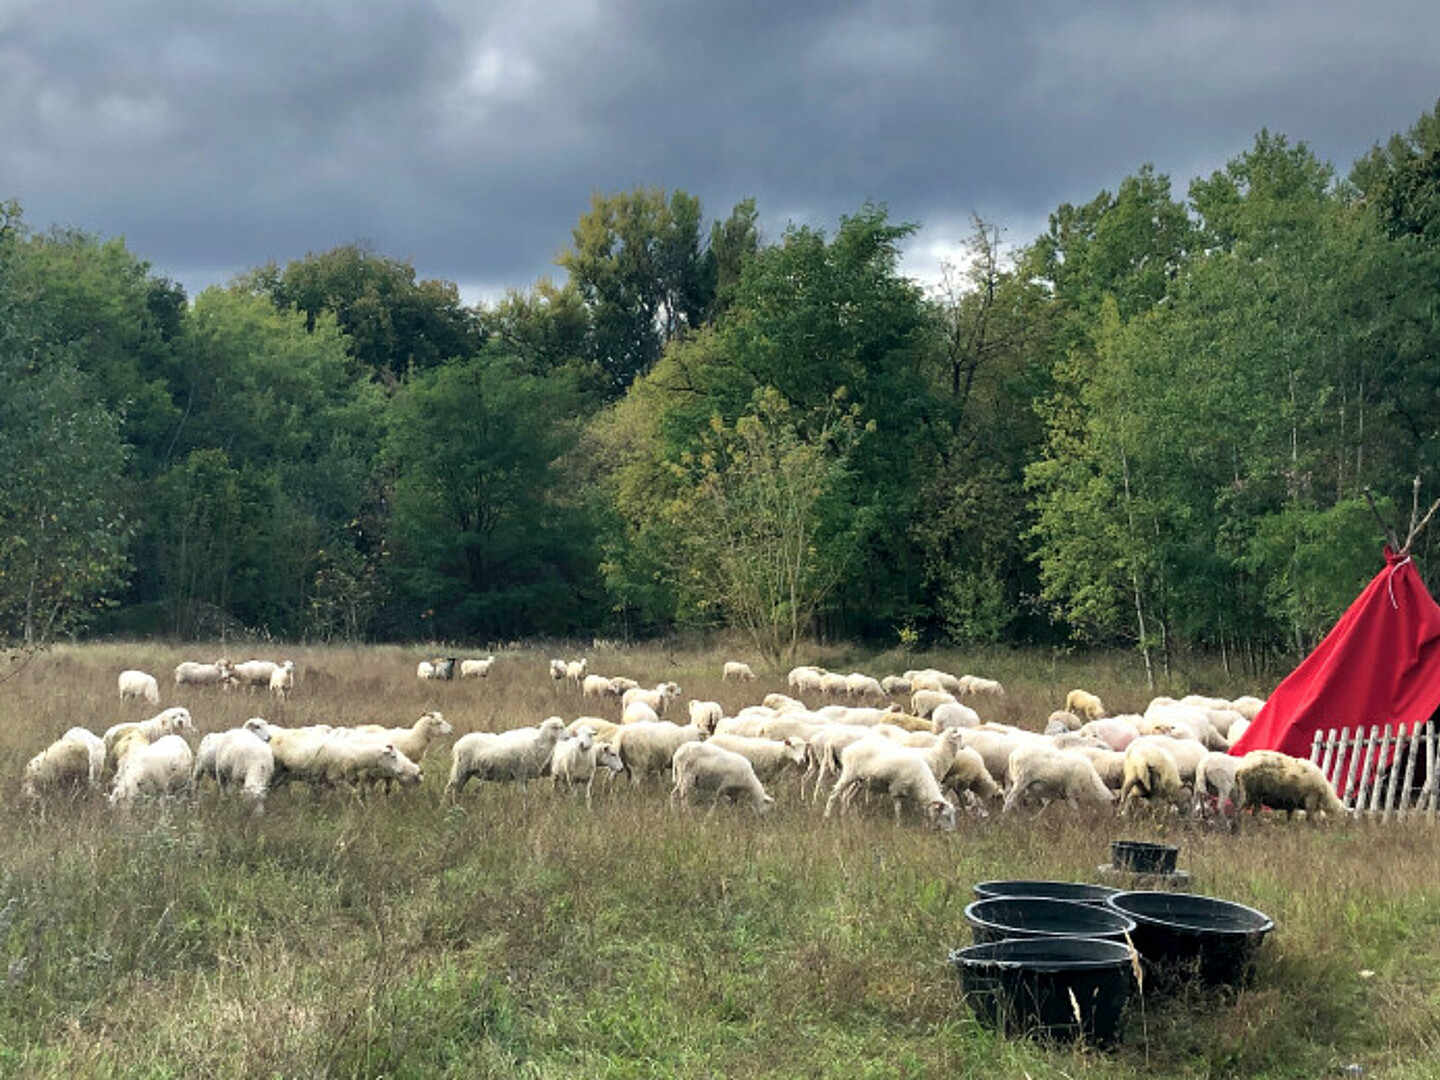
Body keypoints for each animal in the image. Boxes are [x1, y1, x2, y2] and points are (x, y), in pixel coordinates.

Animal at [823, 743, 956, 835]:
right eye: (946, 816)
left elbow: (921, 810)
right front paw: (898, 825)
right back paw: (826, 816)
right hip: (849, 774)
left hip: (859, 781)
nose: (952, 832)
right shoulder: (896, 789)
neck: (921, 781)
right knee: (833, 794)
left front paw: (925, 823)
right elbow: (898, 809)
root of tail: (847, 749)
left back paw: (845, 815)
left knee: (847, 796)